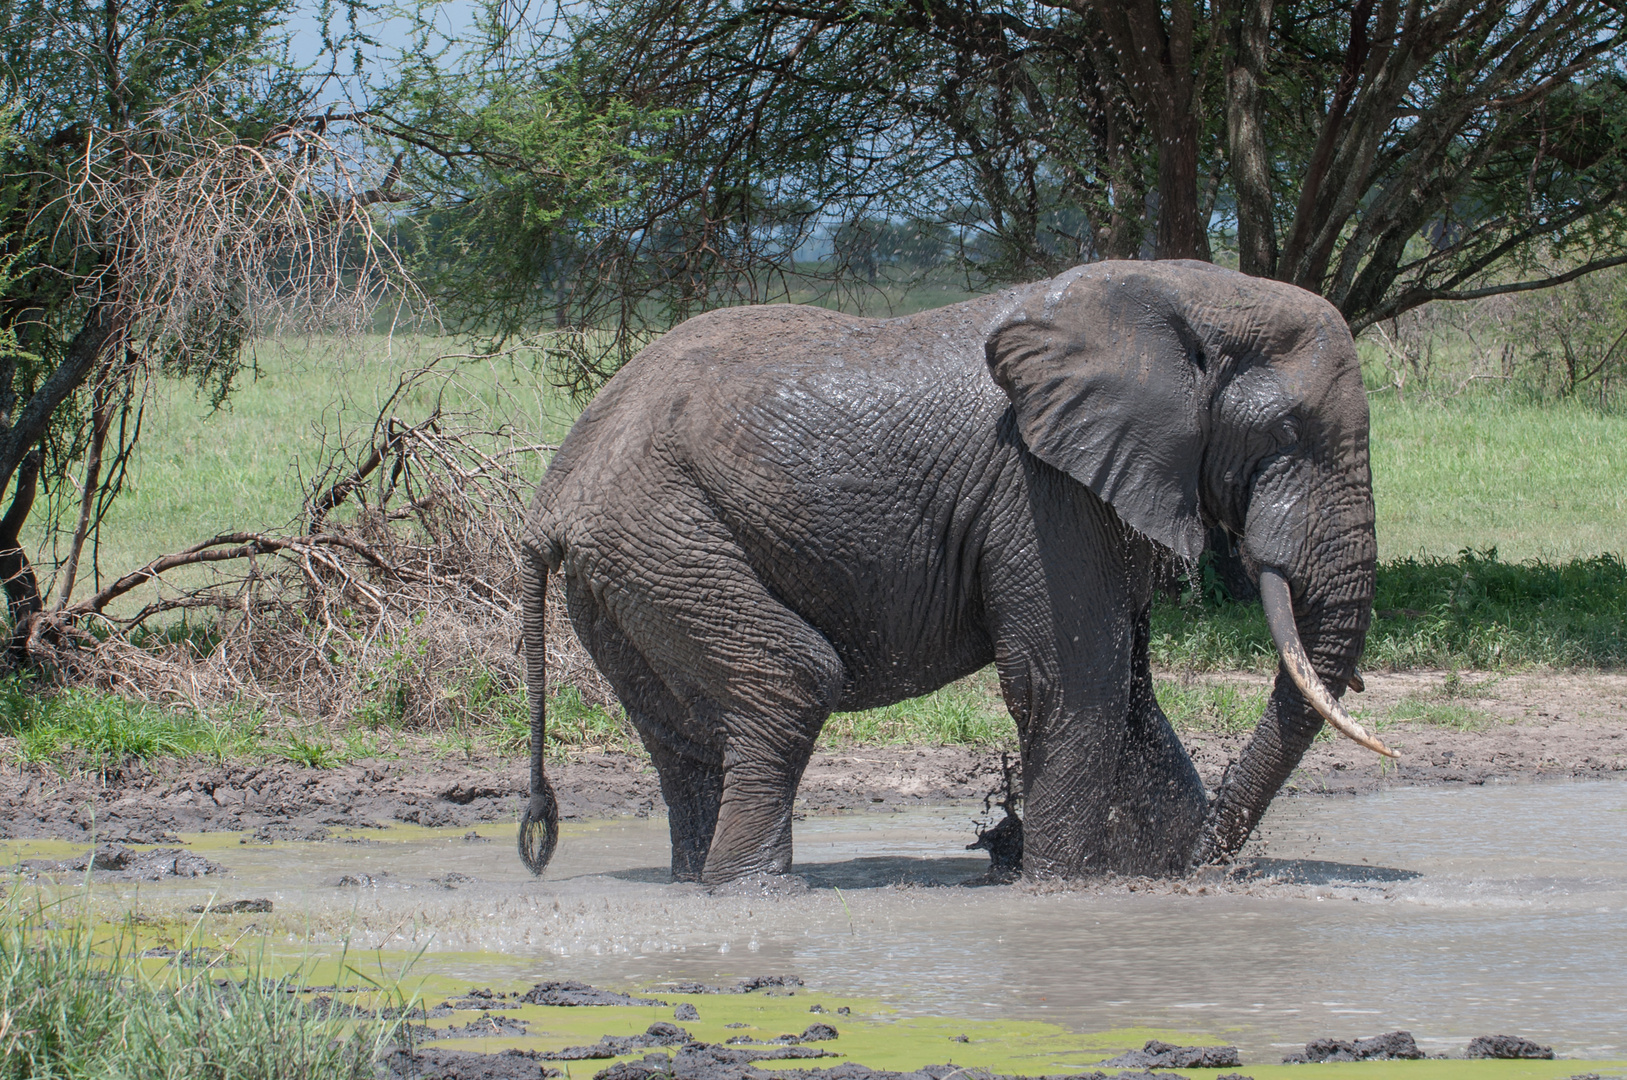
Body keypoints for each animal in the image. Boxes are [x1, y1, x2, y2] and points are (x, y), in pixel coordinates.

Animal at [514, 263, 1392, 884]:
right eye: (1286, 432)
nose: (1202, 867)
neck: (1182, 290)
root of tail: (549, 498)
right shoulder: (1041, 489)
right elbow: (1072, 683)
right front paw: (1064, 890)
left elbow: (1133, 694)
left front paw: (1148, 872)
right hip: (665, 535)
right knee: (790, 680)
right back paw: (759, 890)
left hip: (629, 572)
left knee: (683, 737)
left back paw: (697, 882)